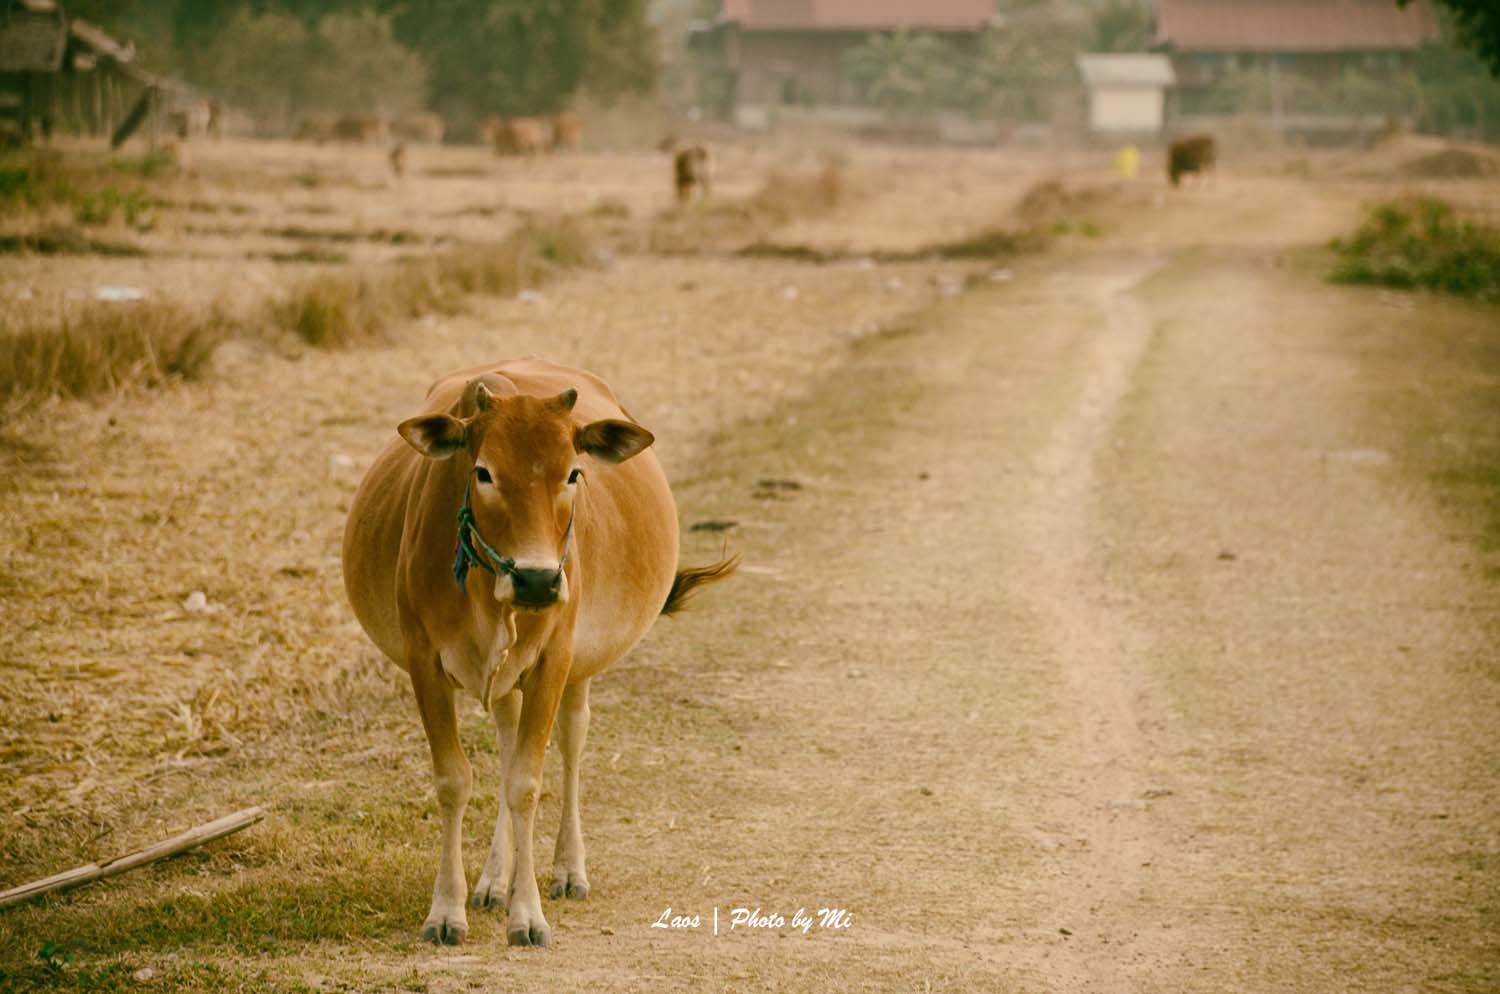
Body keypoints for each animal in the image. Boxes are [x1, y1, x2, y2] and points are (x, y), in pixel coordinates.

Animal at [342, 358, 738, 947]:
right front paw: (447, 909)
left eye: (573, 473)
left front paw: (526, 914)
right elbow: (456, 780)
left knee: (571, 742)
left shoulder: (553, 660)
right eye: (482, 472)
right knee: (508, 745)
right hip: (509, 679)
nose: (536, 579)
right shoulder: (423, 663)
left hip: (577, 667)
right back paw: (490, 881)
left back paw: (568, 869)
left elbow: (526, 784)